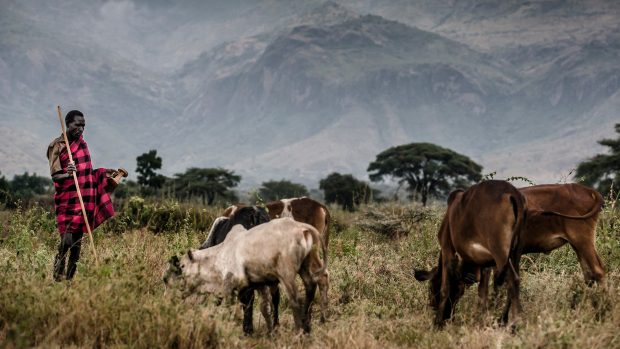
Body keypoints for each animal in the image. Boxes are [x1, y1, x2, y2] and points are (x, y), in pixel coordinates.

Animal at [165, 216, 330, 334]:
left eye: (182, 266)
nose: (169, 299)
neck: (220, 254)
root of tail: (302, 227)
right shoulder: (258, 284)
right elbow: (263, 308)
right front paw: (270, 332)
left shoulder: (232, 284)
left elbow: (231, 307)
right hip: (306, 265)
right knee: (313, 285)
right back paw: (308, 326)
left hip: (286, 273)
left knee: (296, 300)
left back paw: (299, 330)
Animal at [414, 179, 524, 326]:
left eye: (431, 287)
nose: (433, 307)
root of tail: (512, 194)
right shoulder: (485, 264)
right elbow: (482, 291)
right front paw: (482, 318)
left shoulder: (447, 247)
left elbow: (445, 287)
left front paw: (437, 322)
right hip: (515, 253)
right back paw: (504, 320)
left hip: (500, 252)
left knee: (512, 280)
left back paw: (513, 322)